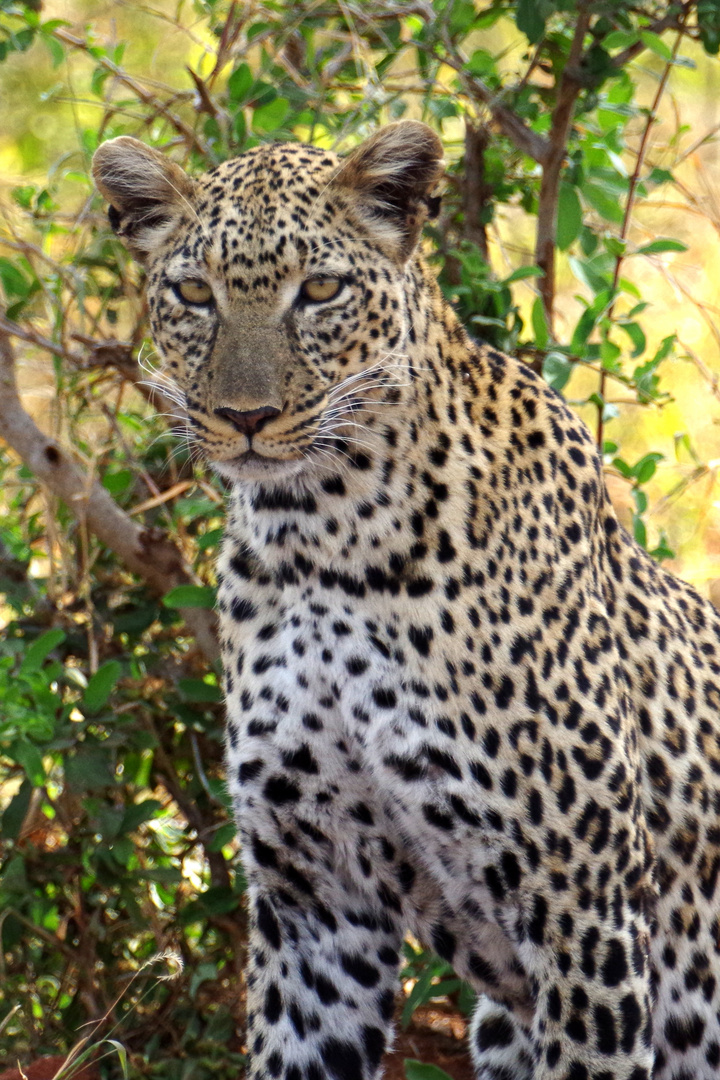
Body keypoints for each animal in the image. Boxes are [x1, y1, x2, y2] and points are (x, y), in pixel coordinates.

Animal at [95, 118, 720, 1080]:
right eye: (194, 294)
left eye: (320, 291)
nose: (244, 417)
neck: (318, 540)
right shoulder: (311, 898)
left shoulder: (586, 907)